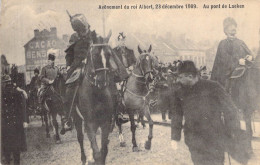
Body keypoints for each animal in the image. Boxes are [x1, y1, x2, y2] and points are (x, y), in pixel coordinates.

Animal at [74, 31, 116, 165]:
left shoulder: (105, 123)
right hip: (77, 119)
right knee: (80, 138)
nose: (102, 81)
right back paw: (84, 158)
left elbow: (103, 151)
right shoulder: (90, 123)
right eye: (94, 55)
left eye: (108, 55)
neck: (96, 94)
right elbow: (97, 153)